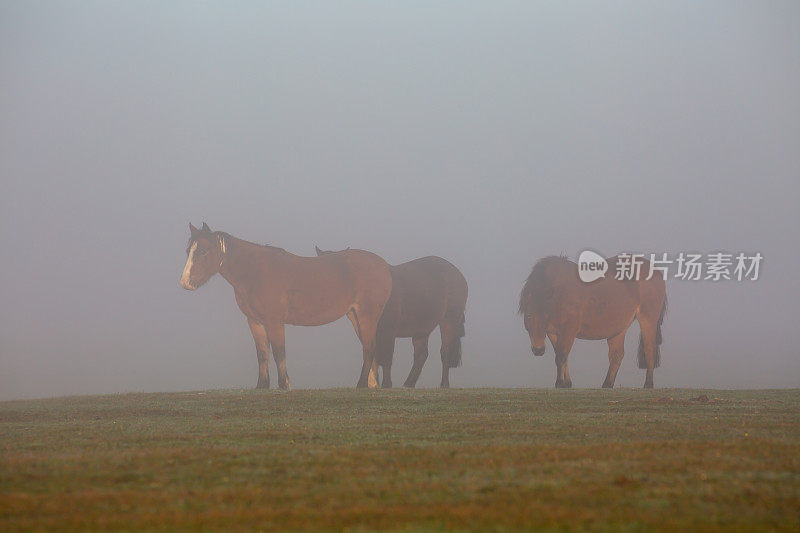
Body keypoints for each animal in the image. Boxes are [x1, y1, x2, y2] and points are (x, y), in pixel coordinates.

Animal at [181, 222, 394, 388]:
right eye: (188, 251)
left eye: (203, 251)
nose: (185, 283)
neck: (255, 272)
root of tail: (384, 266)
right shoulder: (255, 322)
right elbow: (262, 354)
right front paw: (262, 386)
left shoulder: (274, 321)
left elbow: (278, 352)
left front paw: (284, 385)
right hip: (354, 315)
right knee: (369, 347)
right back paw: (371, 384)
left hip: (367, 315)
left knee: (369, 347)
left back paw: (361, 384)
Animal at [314, 247, 466, 388]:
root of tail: (458, 274)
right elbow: (373, 356)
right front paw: (373, 384)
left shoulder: (388, 330)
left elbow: (385, 358)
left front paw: (384, 384)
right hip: (422, 327)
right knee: (421, 354)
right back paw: (409, 383)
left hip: (449, 320)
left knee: (445, 351)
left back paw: (444, 384)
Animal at [516, 254, 664, 386]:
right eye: (528, 315)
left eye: (545, 314)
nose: (538, 350)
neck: (558, 294)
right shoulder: (553, 333)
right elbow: (561, 355)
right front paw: (567, 383)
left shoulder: (569, 330)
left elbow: (561, 356)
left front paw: (559, 383)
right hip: (619, 327)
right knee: (616, 355)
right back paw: (607, 384)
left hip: (648, 319)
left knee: (649, 350)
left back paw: (648, 384)